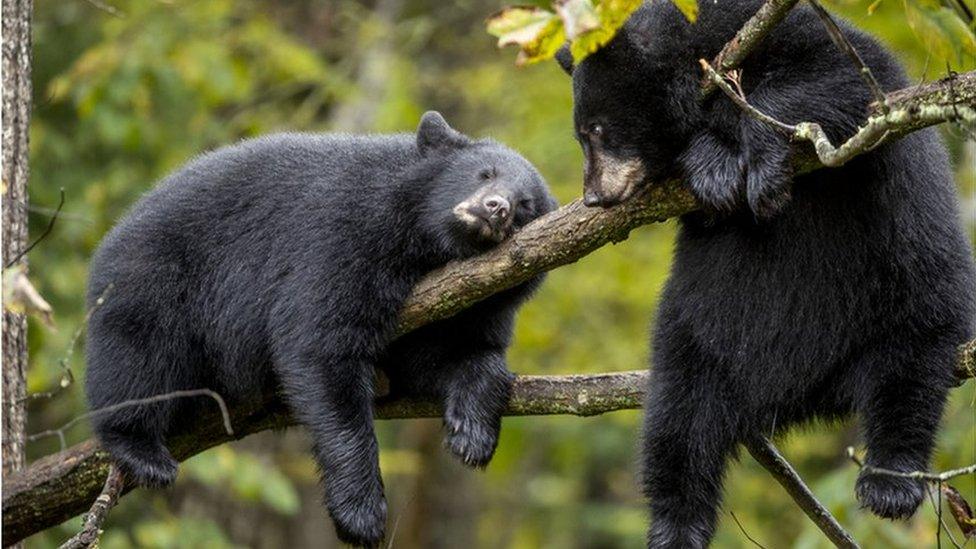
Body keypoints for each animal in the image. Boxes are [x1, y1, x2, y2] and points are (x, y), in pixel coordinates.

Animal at [556, 2, 976, 544]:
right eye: (583, 133)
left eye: (597, 130)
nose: (592, 197)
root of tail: (800, 395)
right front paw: (711, 166)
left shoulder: (795, 35)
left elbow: (848, 78)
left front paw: (750, 157)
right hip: (696, 340)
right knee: (677, 423)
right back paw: (676, 526)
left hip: (912, 293)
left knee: (910, 379)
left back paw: (890, 482)